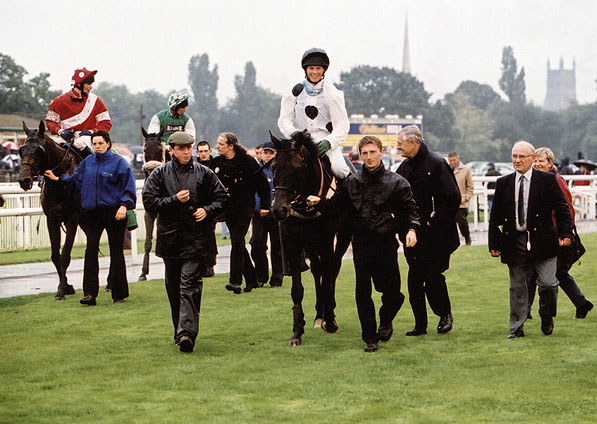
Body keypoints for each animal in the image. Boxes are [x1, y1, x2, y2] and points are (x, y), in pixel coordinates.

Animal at [18, 121, 82, 302]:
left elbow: (65, 256)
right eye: (21, 150)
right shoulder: (52, 219)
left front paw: (62, 290)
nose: (24, 180)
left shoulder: (72, 219)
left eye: (39, 151)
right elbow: (55, 256)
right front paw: (65, 287)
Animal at [268, 131, 346, 346]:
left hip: (341, 237)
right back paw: (319, 316)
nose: (278, 209)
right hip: (311, 243)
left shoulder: (327, 239)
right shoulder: (294, 242)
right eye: (273, 167)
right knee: (318, 270)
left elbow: (328, 277)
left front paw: (331, 321)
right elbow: (297, 288)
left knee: (332, 269)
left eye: (296, 168)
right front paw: (297, 332)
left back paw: (329, 314)